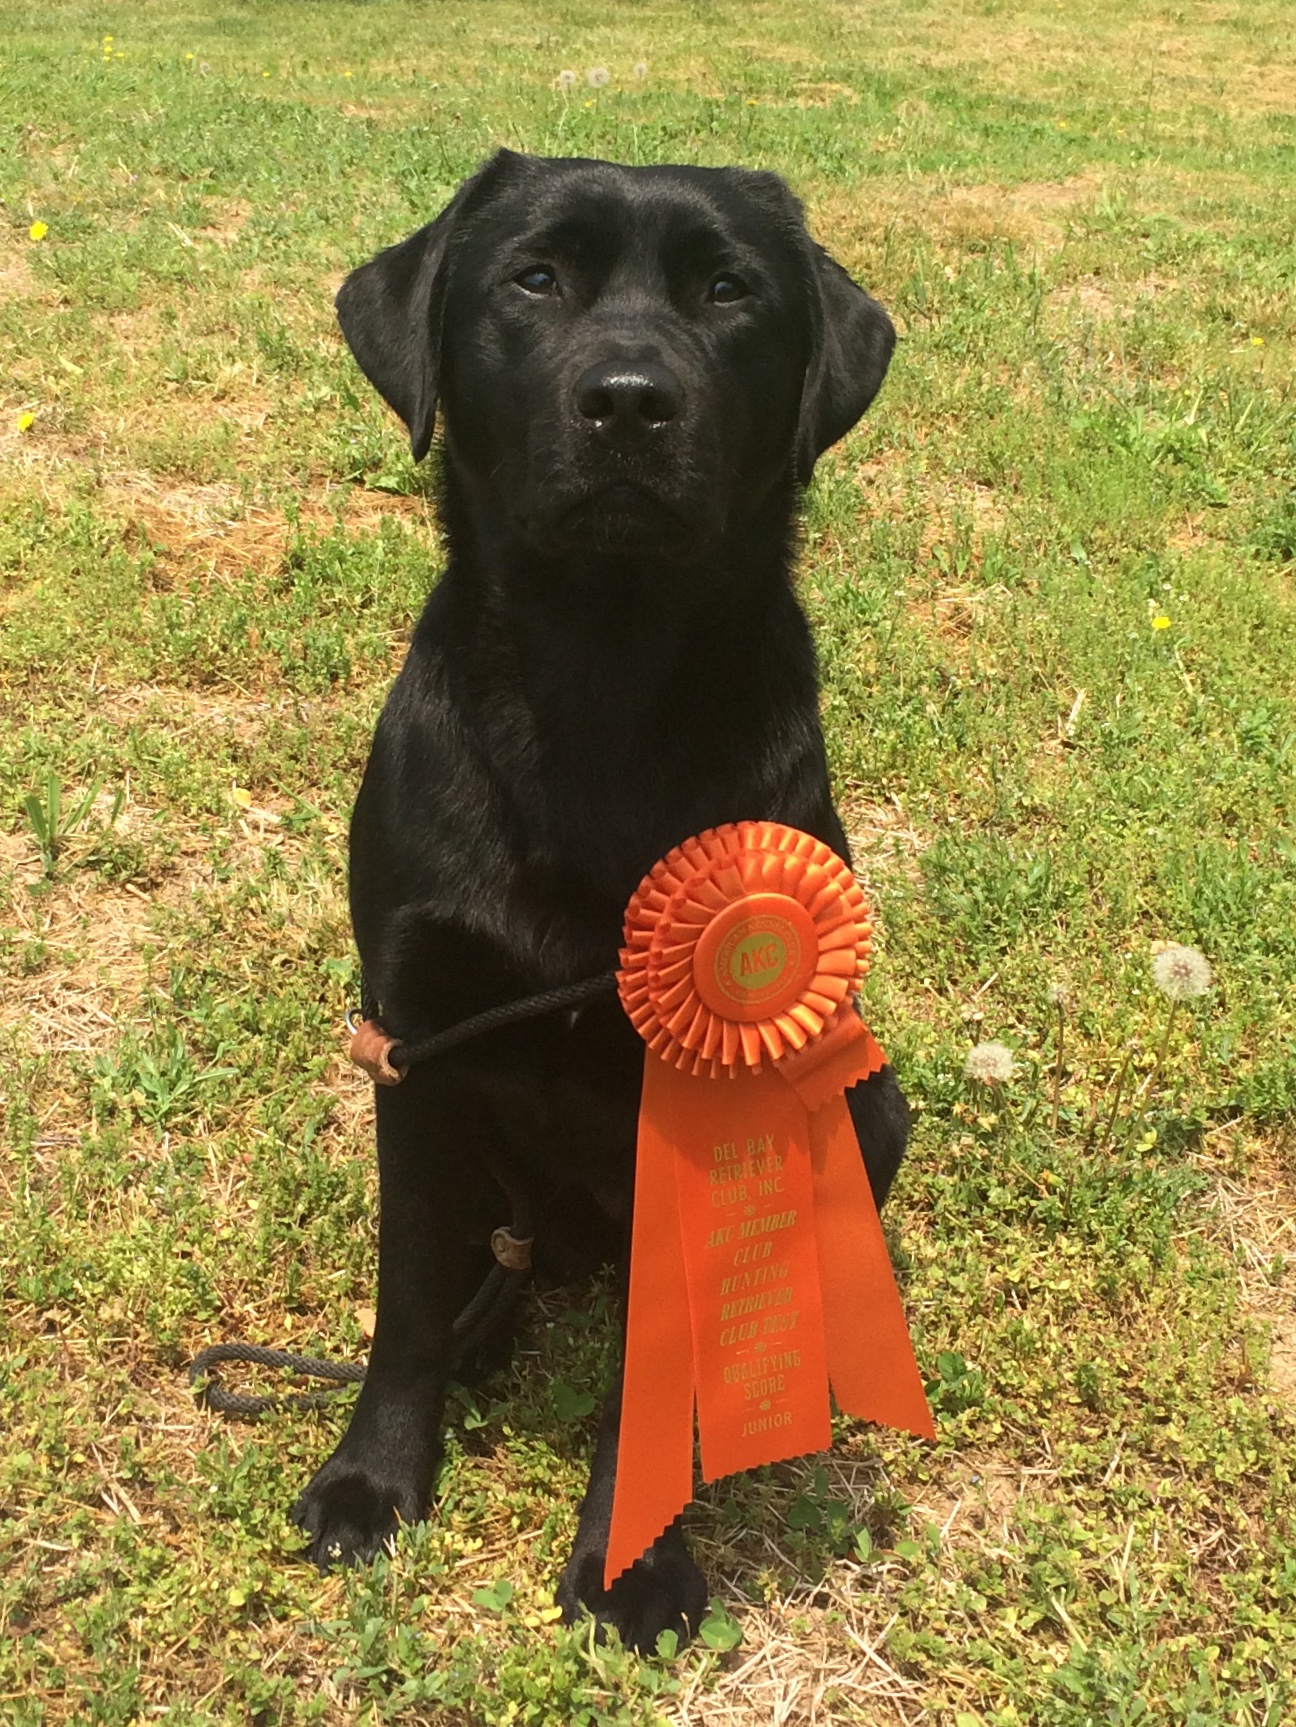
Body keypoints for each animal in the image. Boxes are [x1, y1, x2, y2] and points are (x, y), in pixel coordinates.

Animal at [292, 155, 912, 1651]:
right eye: (535, 277)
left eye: (730, 290)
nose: (630, 401)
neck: (595, 684)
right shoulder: (416, 1037)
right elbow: (404, 1295)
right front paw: (372, 1478)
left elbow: (658, 1371)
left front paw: (631, 1560)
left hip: (869, 1102)